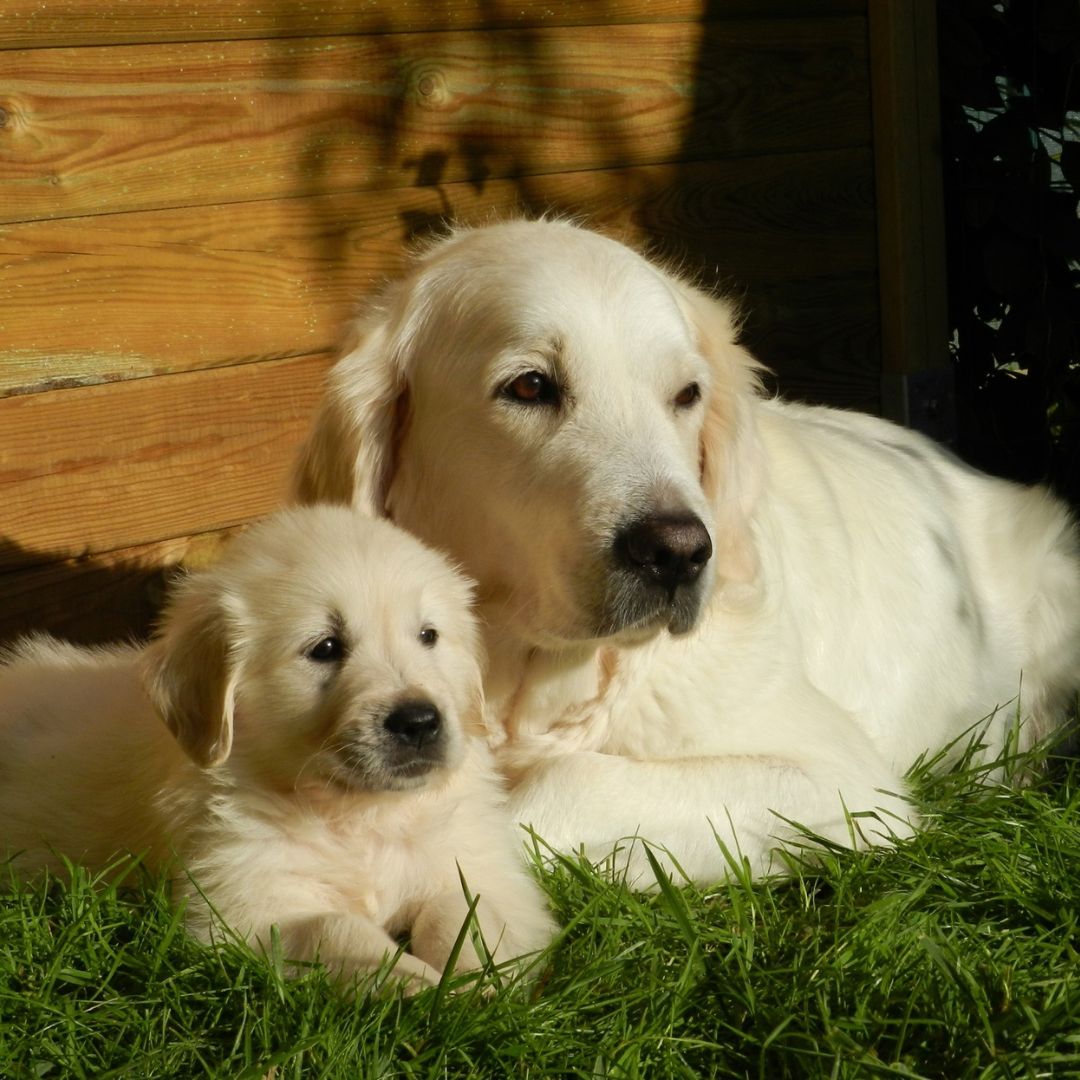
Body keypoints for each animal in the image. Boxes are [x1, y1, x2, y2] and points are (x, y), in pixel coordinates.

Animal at [0, 505, 557, 989]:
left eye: (428, 636)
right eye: (325, 648)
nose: (419, 721)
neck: (359, 814)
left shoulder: (480, 865)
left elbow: (464, 909)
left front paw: (478, 984)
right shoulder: (242, 907)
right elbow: (337, 929)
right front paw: (420, 986)